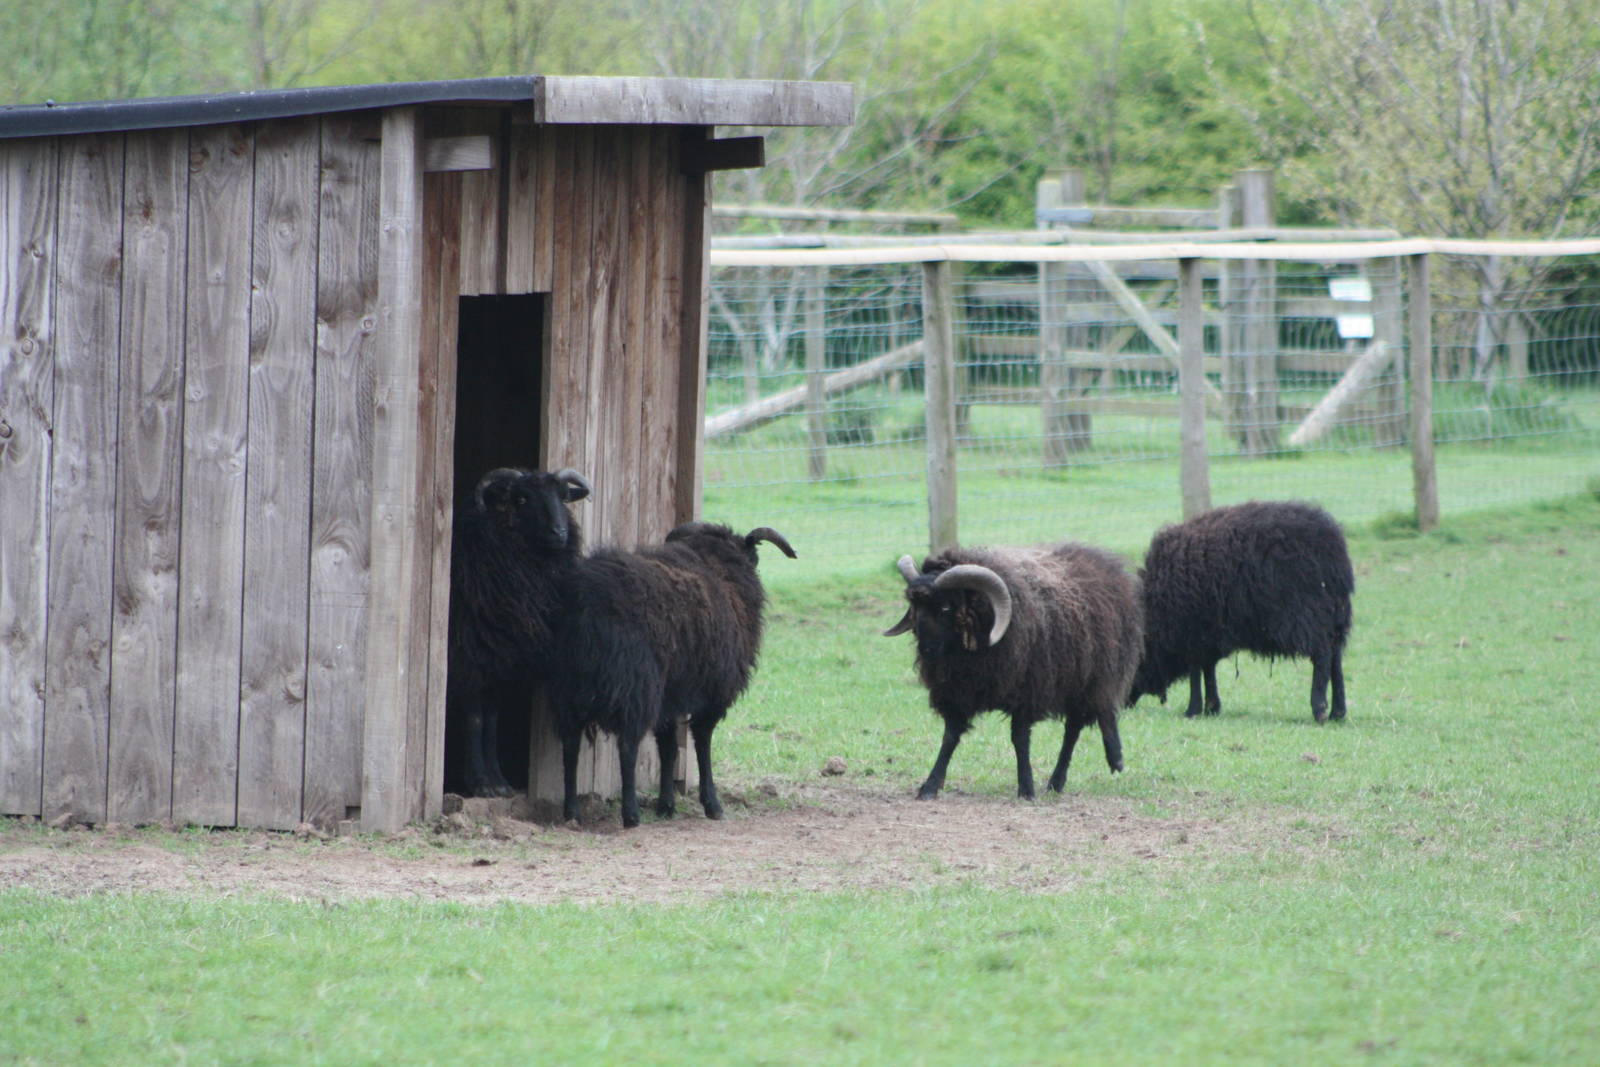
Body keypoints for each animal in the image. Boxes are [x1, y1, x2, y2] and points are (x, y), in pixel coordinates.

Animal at [445, 466, 590, 797]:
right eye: (522, 499)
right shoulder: (468, 661)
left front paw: (499, 781)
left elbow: (492, 721)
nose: (559, 533)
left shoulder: (500, 663)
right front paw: (480, 784)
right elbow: (475, 719)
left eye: (563, 496)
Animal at [549, 522, 797, 828]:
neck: (720, 567)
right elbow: (702, 743)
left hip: (568, 689)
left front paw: (666, 805)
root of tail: (587, 602)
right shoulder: (712, 694)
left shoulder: (670, 695)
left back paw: (572, 813)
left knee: (570, 748)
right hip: (634, 686)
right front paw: (712, 804)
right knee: (627, 747)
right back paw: (631, 815)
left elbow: (667, 747)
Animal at [883, 542, 1143, 801]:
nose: (926, 651)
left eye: (946, 607)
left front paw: (1026, 788)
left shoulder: (1026, 692)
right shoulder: (956, 693)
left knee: (1083, 724)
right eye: (915, 607)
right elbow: (949, 738)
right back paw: (1061, 782)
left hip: (1093, 678)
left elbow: (1020, 739)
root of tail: (1104, 563)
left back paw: (1107, 761)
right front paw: (930, 786)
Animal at [1127, 499, 1355, 723]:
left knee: (1323, 656)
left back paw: (1320, 709)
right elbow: (1207, 668)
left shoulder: (1193, 632)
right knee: (1335, 659)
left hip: (1308, 616)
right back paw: (1338, 712)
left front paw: (1193, 709)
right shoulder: (1208, 634)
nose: (1124, 704)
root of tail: (1333, 549)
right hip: (1334, 617)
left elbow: (1196, 670)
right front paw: (1211, 707)